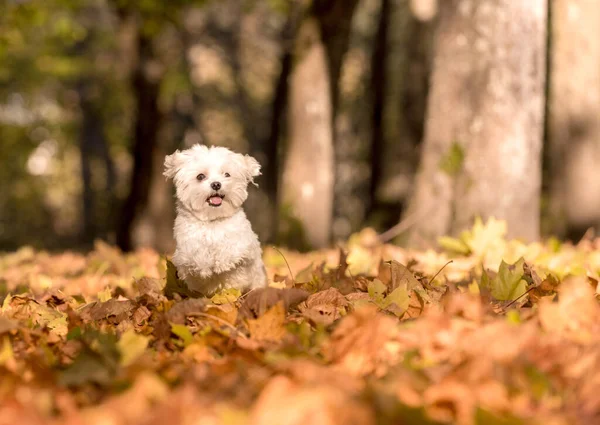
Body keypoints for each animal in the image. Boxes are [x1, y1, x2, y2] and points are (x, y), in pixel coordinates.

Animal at [164, 145, 268, 294]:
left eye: (227, 174)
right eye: (200, 176)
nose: (216, 184)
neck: (212, 221)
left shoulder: (246, 246)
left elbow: (232, 249)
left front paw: (221, 263)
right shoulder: (184, 251)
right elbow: (195, 256)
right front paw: (206, 266)